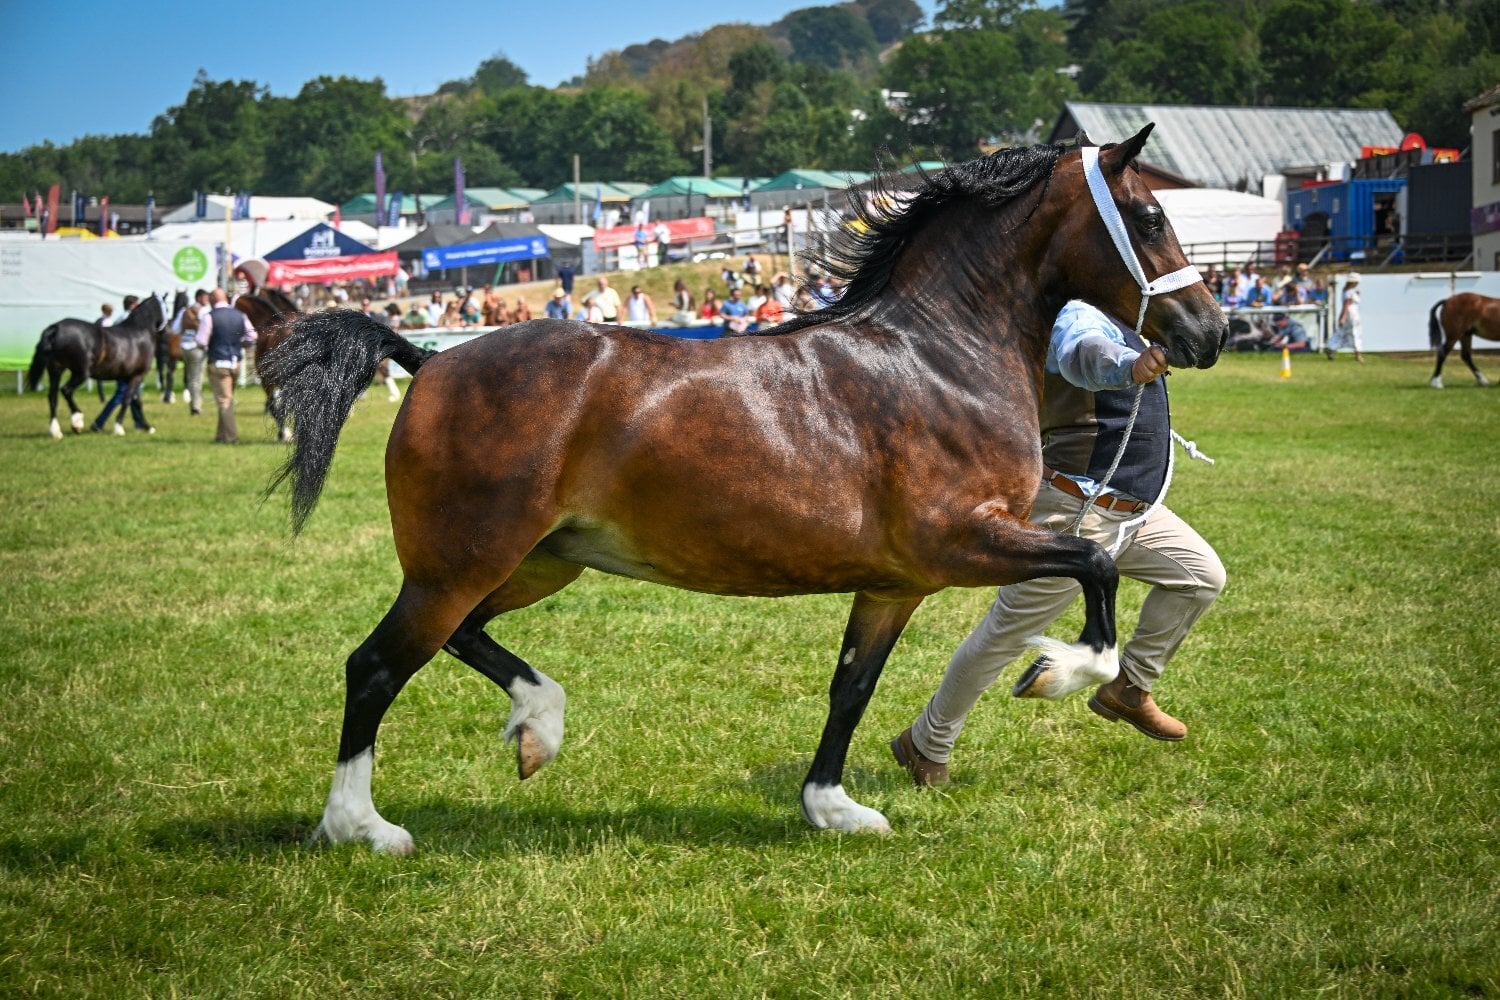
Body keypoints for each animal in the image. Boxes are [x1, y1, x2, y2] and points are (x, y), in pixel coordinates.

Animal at [27, 293, 168, 438]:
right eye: (167, 308)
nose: (166, 332)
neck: (140, 332)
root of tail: (56, 327)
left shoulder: (127, 377)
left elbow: (136, 402)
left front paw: (147, 427)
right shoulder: (138, 376)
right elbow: (128, 399)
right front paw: (119, 428)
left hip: (55, 370)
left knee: (52, 397)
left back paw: (56, 431)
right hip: (80, 373)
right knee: (66, 390)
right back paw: (77, 422)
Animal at [260, 126, 1227, 853]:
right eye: (1147, 215)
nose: (1211, 332)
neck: (937, 357)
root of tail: (426, 360)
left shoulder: (895, 583)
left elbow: (851, 688)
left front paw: (832, 808)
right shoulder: (961, 540)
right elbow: (1096, 567)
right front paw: (1053, 671)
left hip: (534, 563)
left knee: (459, 639)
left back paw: (538, 728)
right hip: (462, 563)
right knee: (376, 665)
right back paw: (361, 827)